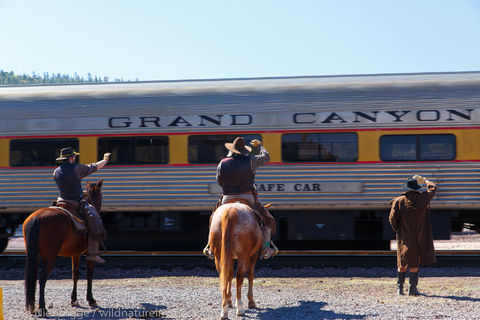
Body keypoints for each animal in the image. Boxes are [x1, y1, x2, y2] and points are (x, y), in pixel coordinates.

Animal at [23, 180, 104, 316]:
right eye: (100, 196)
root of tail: (37, 217)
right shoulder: (89, 254)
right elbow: (89, 274)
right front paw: (91, 299)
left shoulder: (75, 254)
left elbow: (75, 274)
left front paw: (74, 299)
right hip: (50, 257)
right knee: (43, 277)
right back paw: (42, 307)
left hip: (32, 255)